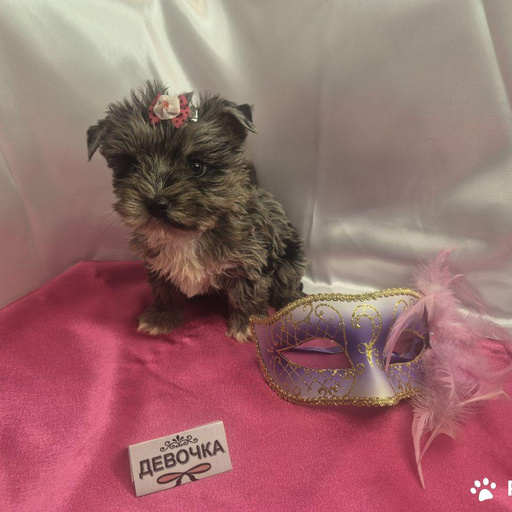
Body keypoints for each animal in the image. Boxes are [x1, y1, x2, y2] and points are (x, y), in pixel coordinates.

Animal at [87, 81, 307, 342]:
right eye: (130, 166)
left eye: (197, 166)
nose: (156, 203)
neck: (190, 234)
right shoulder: (158, 264)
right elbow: (164, 290)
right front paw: (162, 317)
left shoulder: (249, 258)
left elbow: (247, 293)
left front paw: (247, 324)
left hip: (290, 256)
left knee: (288, 281)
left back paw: (291, 303)